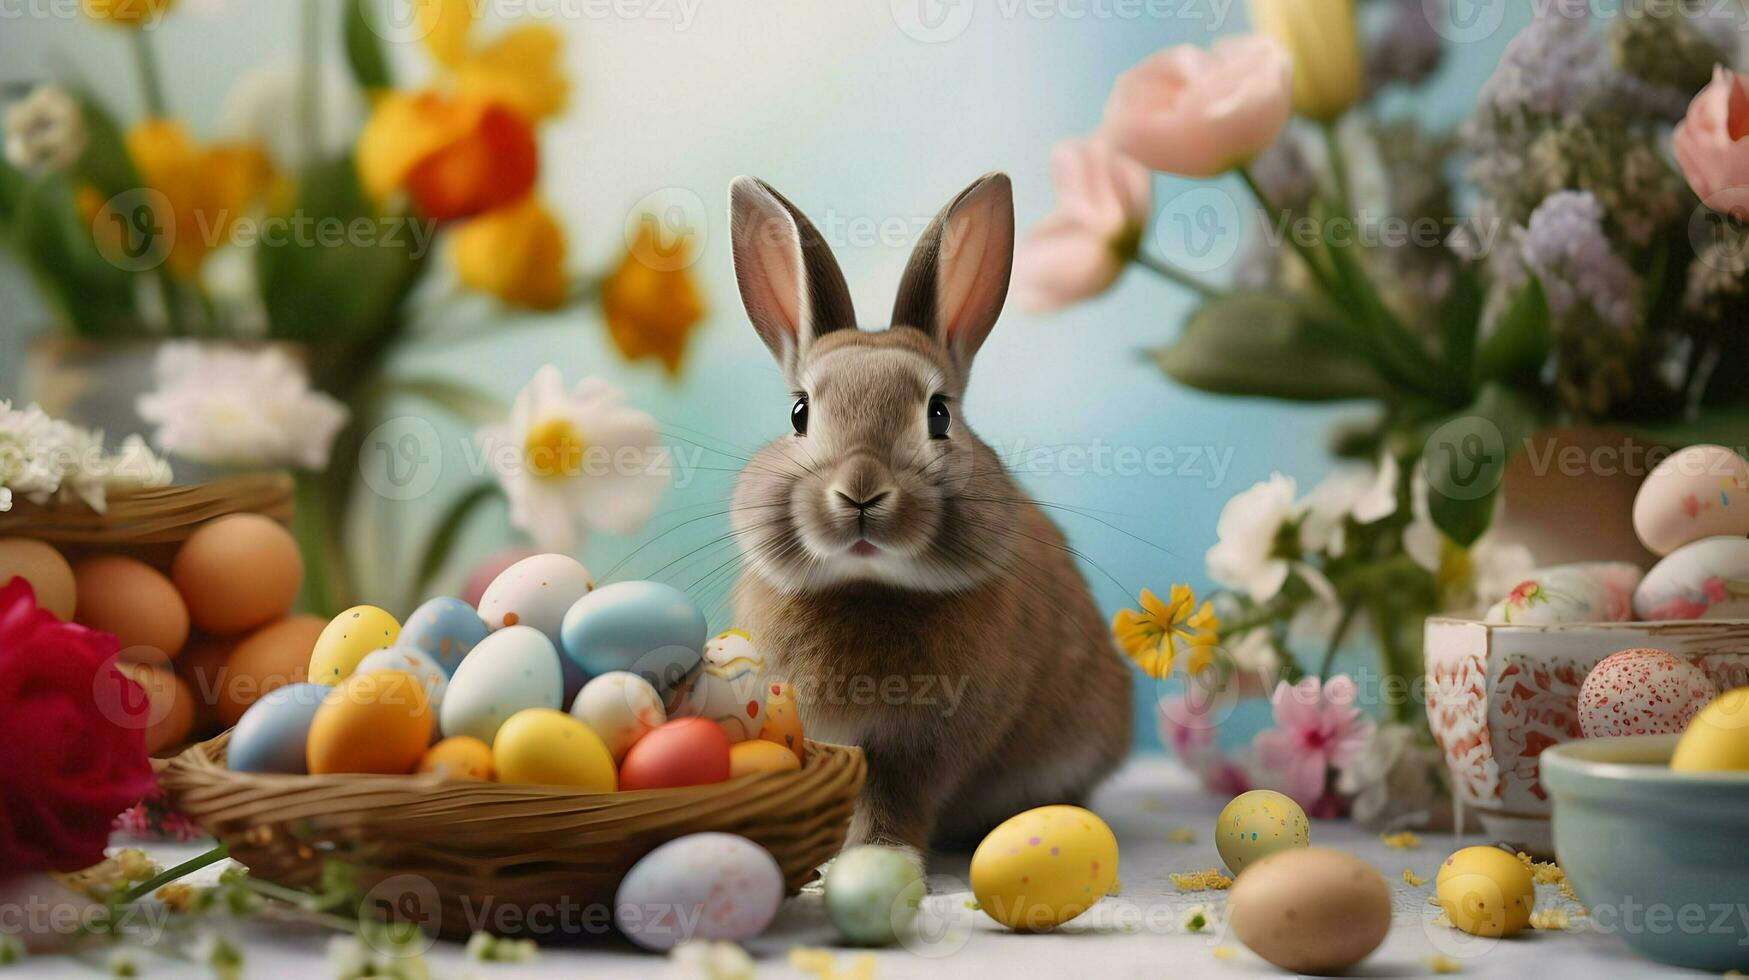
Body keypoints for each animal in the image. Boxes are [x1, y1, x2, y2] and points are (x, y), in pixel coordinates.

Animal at [724, 172, 1133, 861]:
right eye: (799, 414)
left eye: (938, 414)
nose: (861, 493)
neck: (867, 587)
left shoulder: (926, 747)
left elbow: (897, 801)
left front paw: (876, 855)